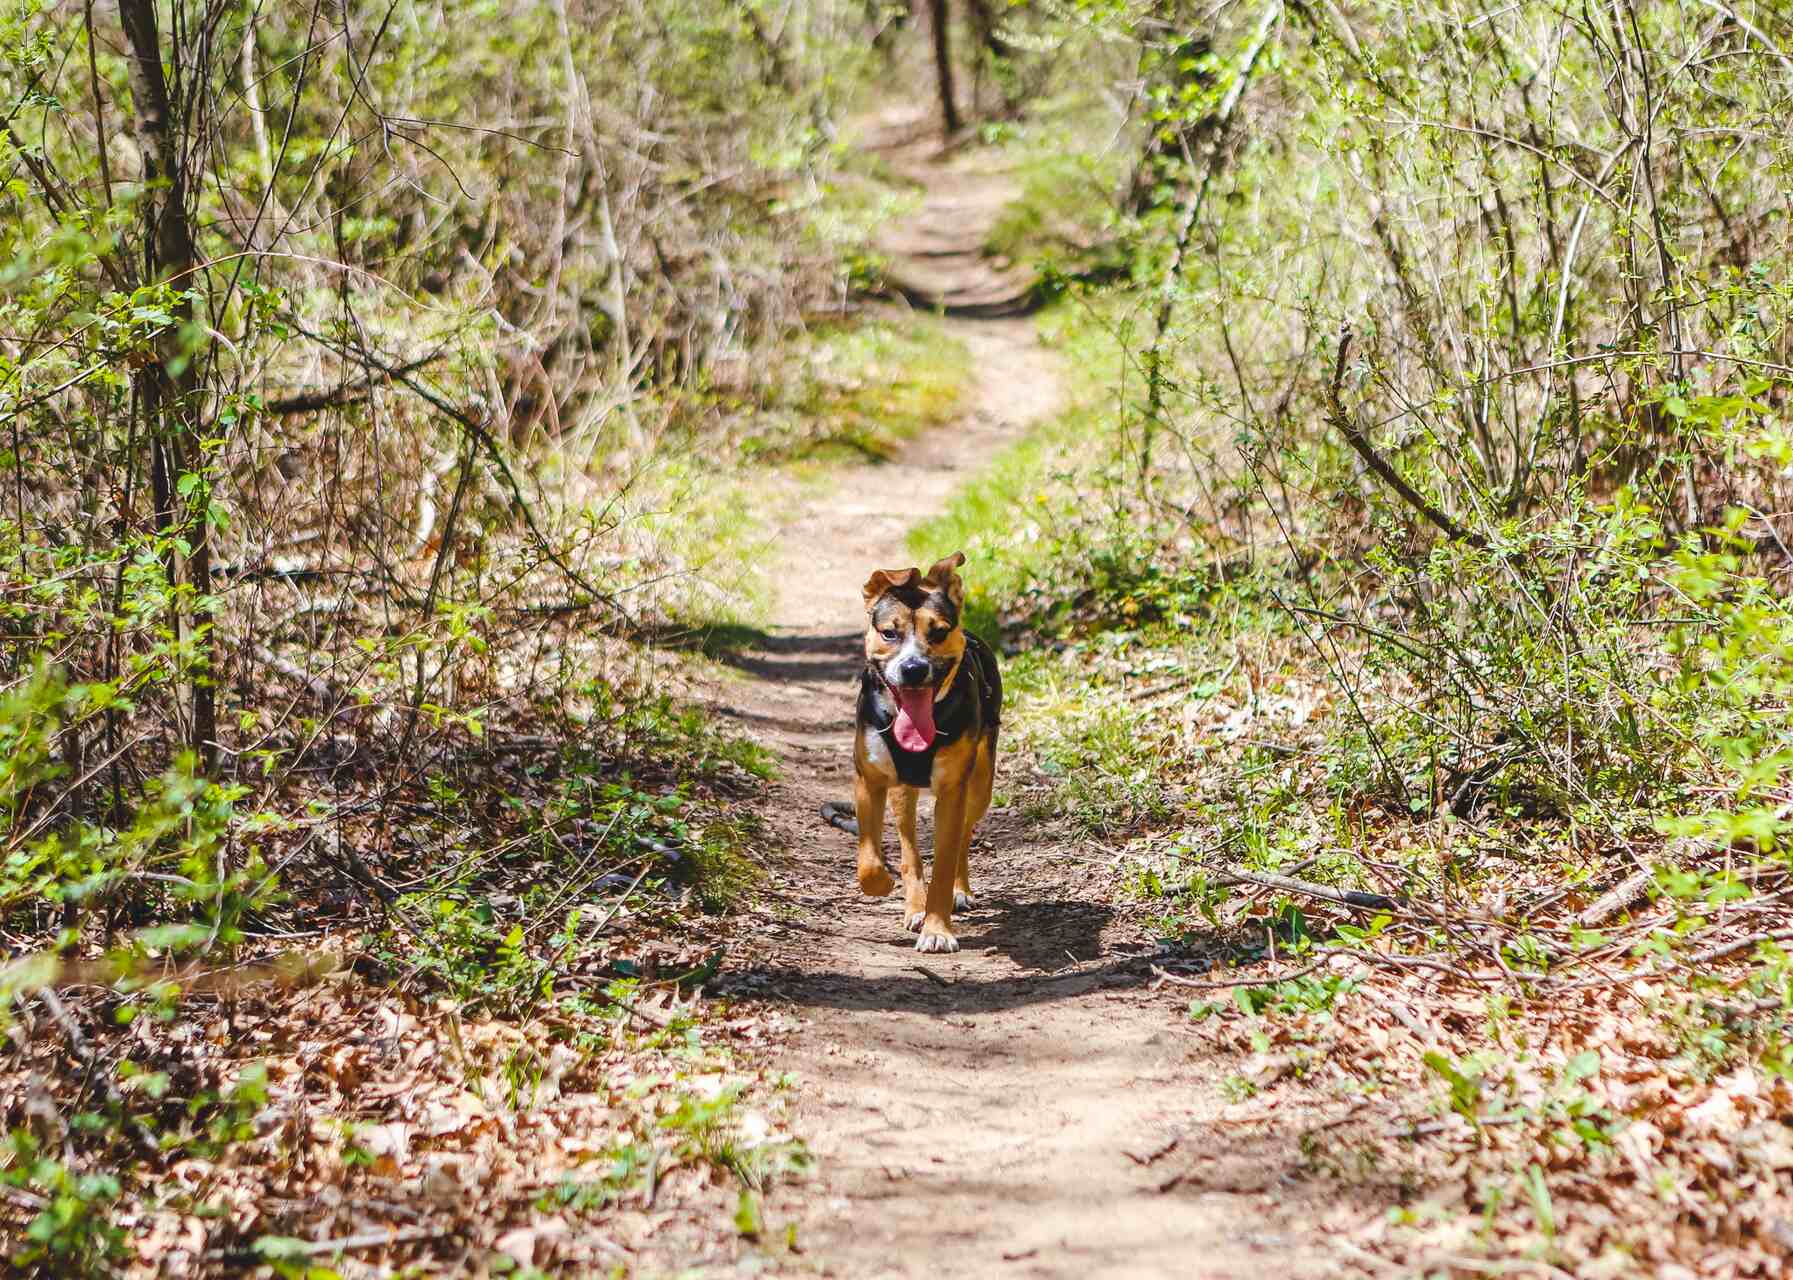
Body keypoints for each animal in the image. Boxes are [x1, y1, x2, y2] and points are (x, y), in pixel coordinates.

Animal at [821, 548, 1004, 946]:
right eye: (889, 632)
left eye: (939, 632)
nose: (914, 669)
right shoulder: (869, 780)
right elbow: (870, 856)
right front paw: (883, 883)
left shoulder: (953, 790)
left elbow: (947, 856)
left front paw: (938, 929)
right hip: (902, 792)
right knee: (909, 847)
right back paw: (913, 903)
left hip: (980, 785)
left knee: (964, 835)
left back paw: (958, 891)